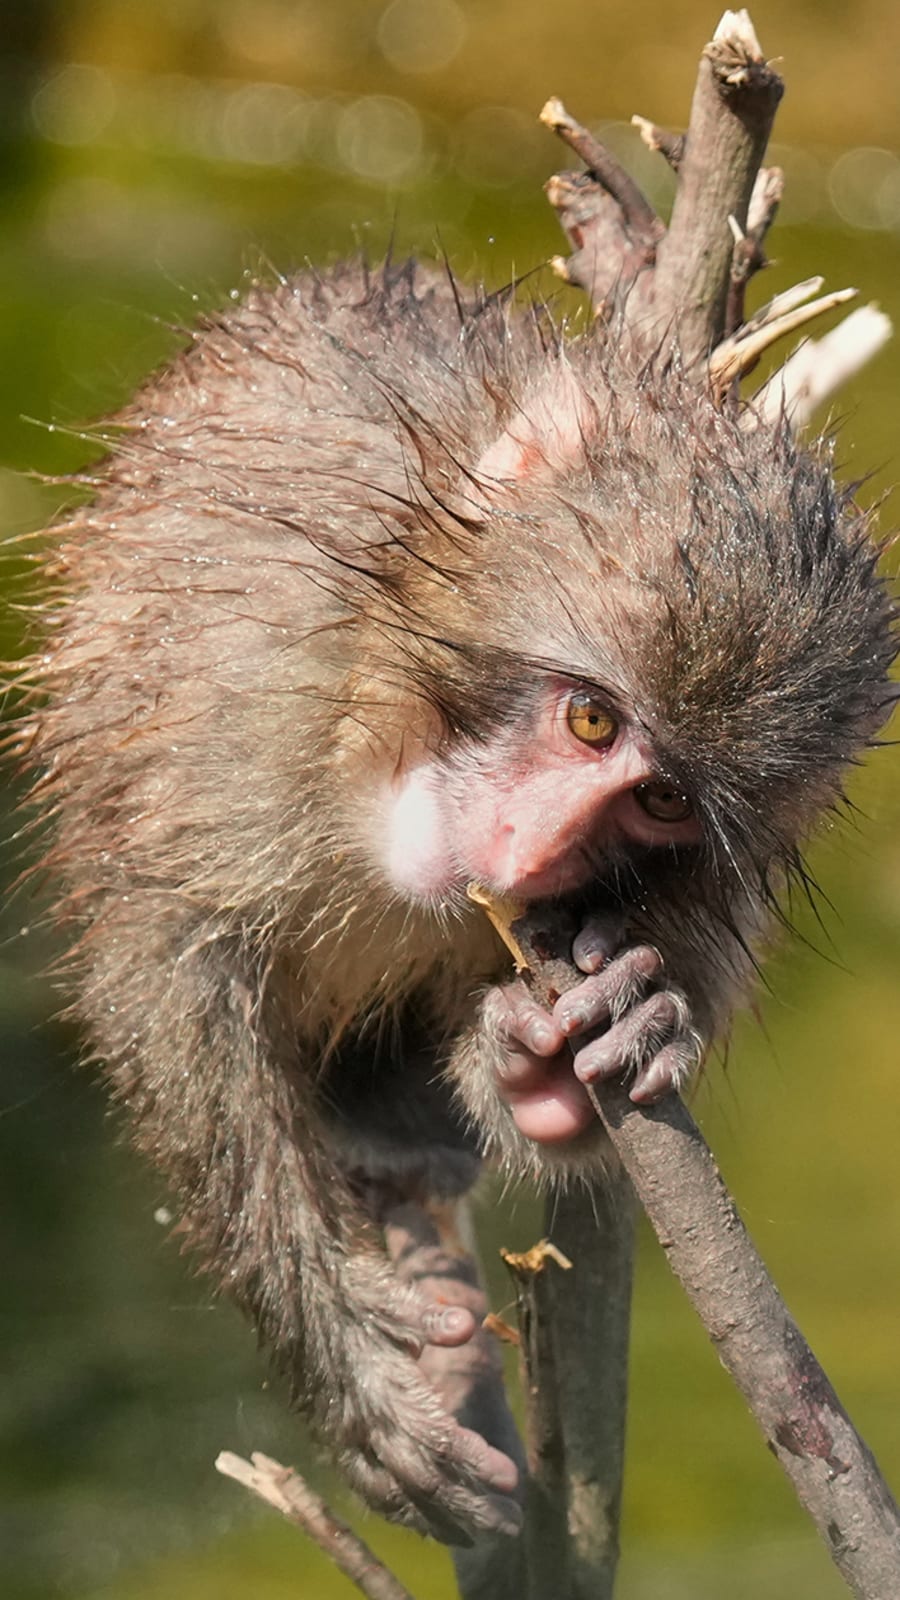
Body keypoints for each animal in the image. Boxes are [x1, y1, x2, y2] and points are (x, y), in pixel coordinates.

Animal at [18, 256, 896, 1544]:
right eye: (592, 717)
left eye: (664, 801)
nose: (530, 851)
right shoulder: (245, 669)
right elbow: (166, 949)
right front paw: (352, 1370)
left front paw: (581, 1043)